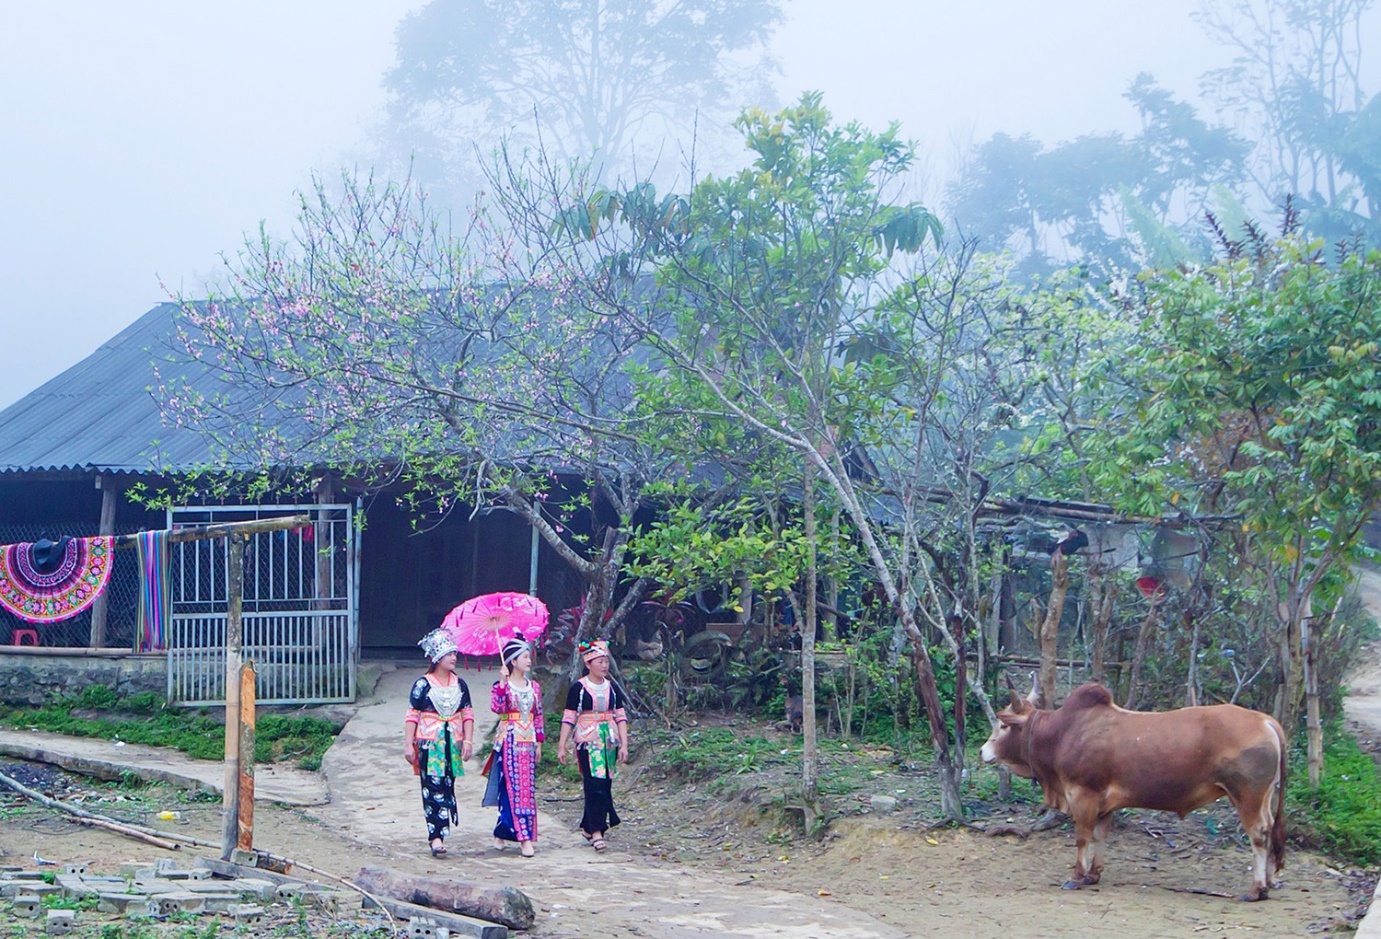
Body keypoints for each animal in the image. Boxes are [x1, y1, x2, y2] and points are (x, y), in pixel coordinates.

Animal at [977, 682, 1287, 900]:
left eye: (1003, 725)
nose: (982, 751)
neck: (1062, 733)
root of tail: (1266, 721)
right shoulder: (1105, 803)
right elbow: (1100, 835)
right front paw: (1093, 874)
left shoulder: (1083, 794)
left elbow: (1082, 837)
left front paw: (1076, 877)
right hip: (1264, 797)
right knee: (1271, 828)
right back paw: (1270, 881)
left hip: (1246, 796)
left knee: (1259, 834)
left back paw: (1257, 889)